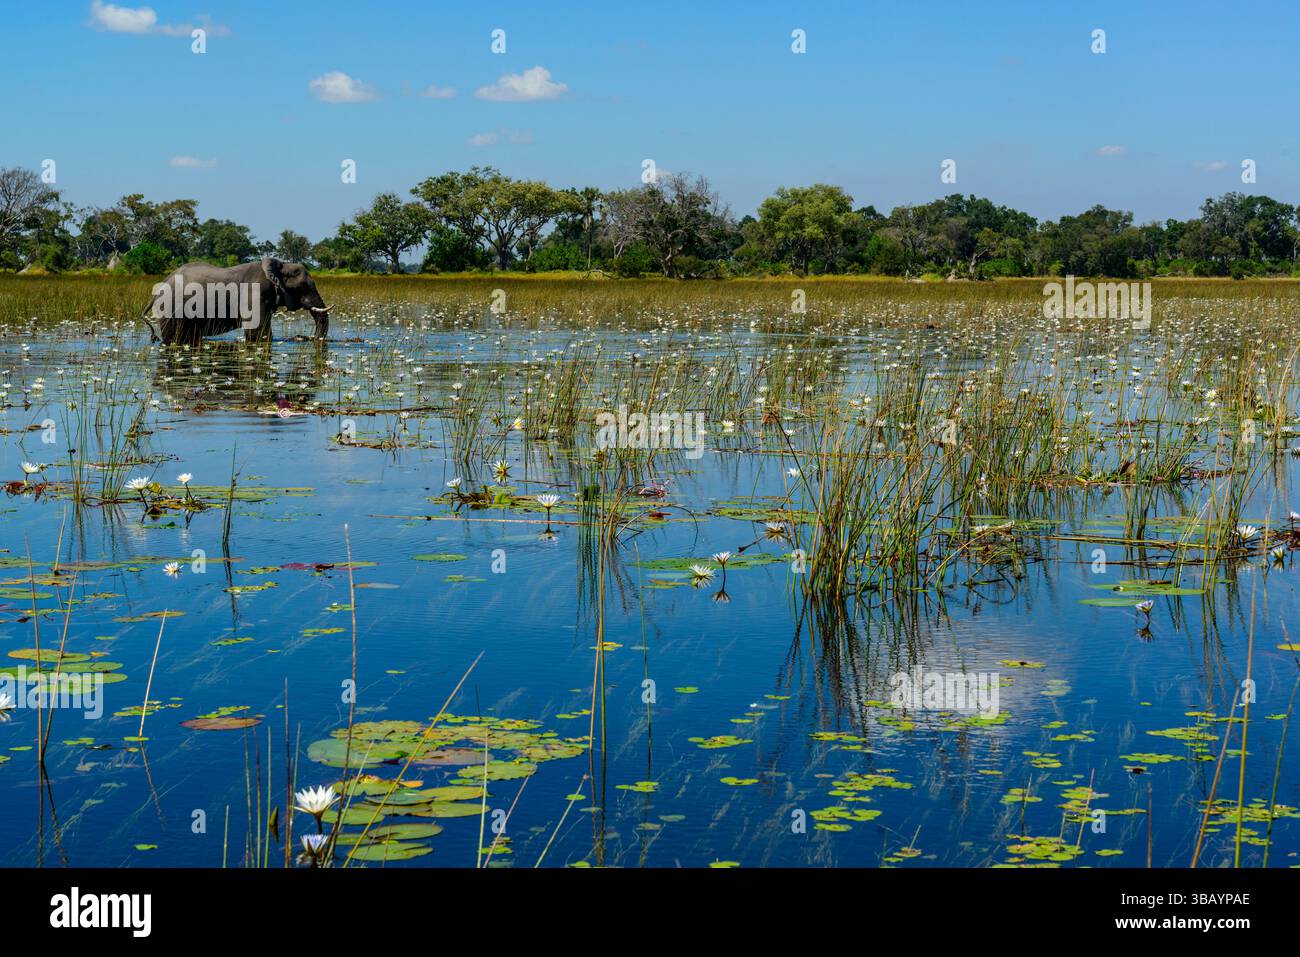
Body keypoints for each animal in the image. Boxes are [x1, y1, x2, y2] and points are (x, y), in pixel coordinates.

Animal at [140, 257, 329, 345]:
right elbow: (257, 333)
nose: (304, 337)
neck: (280, 265)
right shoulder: (254, 293)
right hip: (170, 307)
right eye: (303, 286)